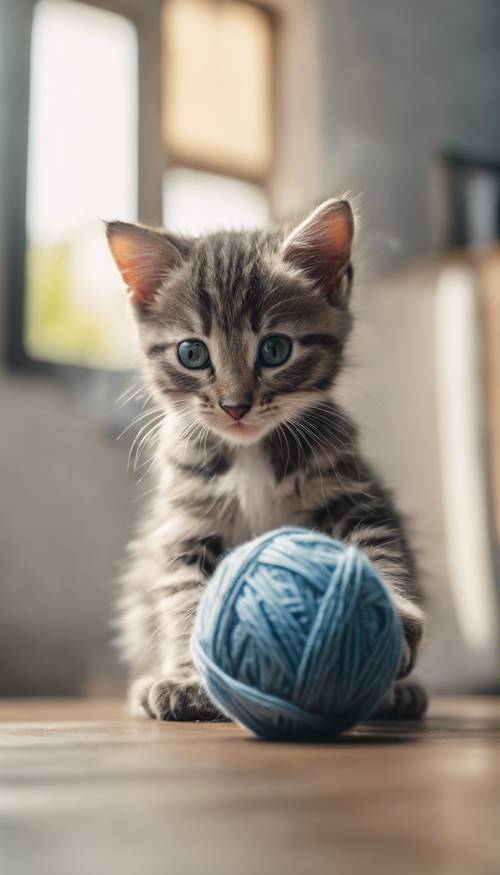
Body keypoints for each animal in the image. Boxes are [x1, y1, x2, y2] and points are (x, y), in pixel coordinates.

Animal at [106, 200, 426, 724]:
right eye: (192, 353)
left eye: (275, 350)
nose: (236, 406)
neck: (250, 453)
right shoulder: (186, 525)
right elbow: (185, 596)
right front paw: (188, 680)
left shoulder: (354, 492)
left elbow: (378, 548)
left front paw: (390, 622)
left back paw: (395, 695)